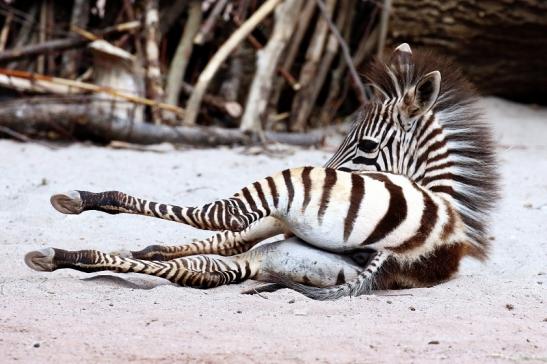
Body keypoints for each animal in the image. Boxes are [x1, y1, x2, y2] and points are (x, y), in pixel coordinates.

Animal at [24, 44, 500, 300]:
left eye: (366, 146)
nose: (330, 173)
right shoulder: (278, 226)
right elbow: (215, 241)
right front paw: (150, 250)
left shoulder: (282, 212)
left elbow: (223, 229)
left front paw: (145, 247)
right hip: (272, 254)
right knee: (206, 266)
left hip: (288, 192)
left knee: (223, 218)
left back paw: (77, 212)